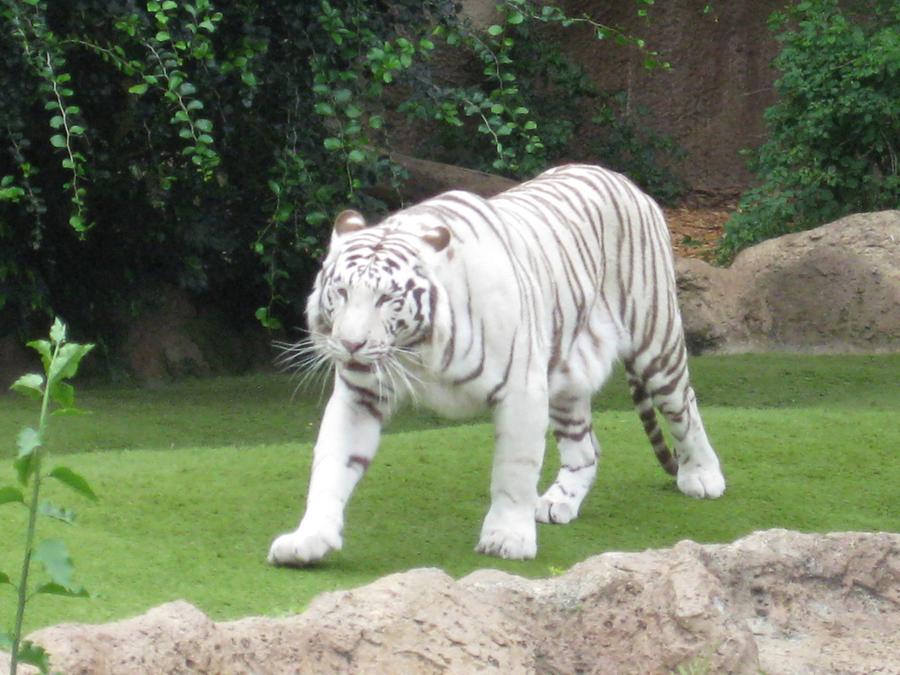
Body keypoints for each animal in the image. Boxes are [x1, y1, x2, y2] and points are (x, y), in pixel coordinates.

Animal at [268, 164, 724, 564]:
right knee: (586, 448)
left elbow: (513, 472)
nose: (350, 343)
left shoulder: (521, 392)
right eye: (341, 292)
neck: (418, 349)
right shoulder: (360, 394)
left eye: (387, 299)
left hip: (655, 343)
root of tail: (621, 179)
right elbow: (332, 464)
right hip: (566, 374)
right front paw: (309, 540)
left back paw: (703, 477)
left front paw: (507, 538)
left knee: (684, 407)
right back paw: (558, 502)